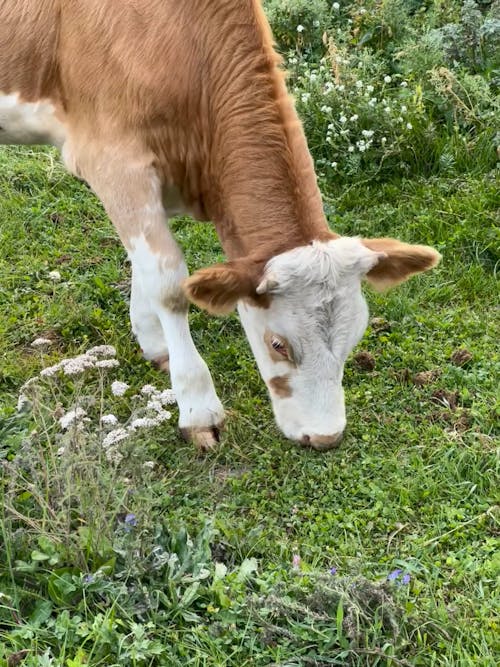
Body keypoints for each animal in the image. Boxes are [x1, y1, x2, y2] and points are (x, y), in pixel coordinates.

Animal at [0, 2, 438, 452]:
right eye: (278, 344)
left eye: (355, 336)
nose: (325, 436)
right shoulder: (114, 159)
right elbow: (168, 284)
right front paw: (198, 408)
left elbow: (145, 266)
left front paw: (154, 343)